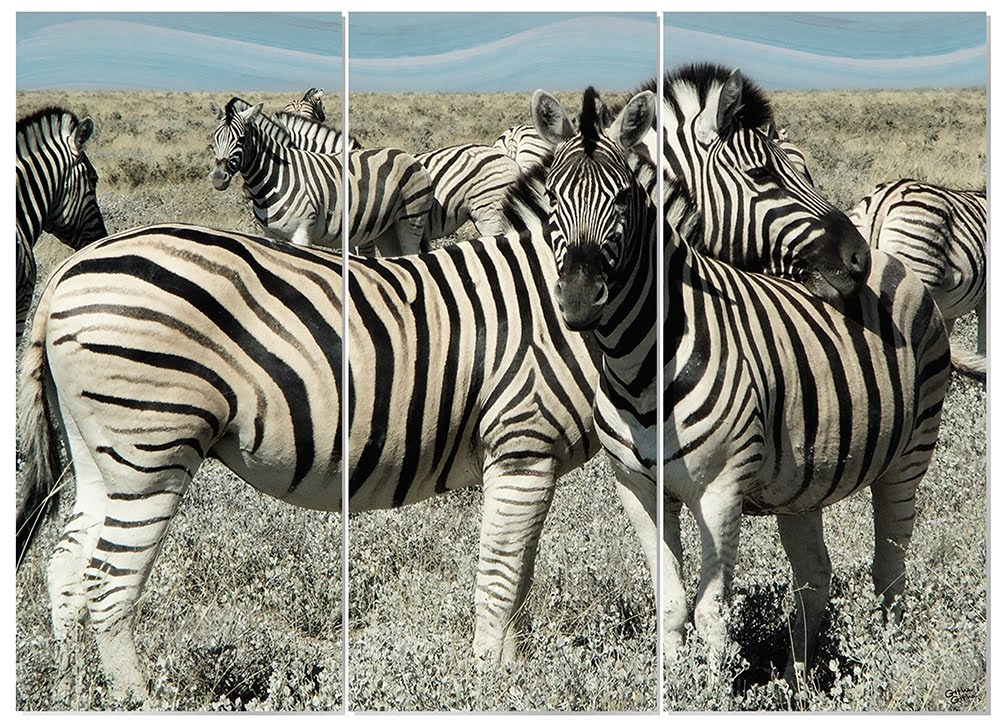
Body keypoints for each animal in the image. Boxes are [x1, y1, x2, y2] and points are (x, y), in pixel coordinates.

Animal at [15, 211, 602, 705]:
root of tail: (66, 271)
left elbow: (519, 574)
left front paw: (509, 674)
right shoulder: (524, 442)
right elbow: (505, 574)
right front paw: (494, 686)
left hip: (98, 456)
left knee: (66, 567)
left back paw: (69, 693)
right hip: (152, 448)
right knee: (108, 582)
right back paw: (138, 701)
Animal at [211, 97, 432, 256]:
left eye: (240, 139)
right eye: (214, 139)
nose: (218, 178)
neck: (277, 175)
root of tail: (406, 154)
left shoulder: (302, 233)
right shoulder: (271, 233)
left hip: (411, 220)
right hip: (388, 230)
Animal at [531, 85, 950, 686]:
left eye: (624, 199)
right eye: (550, 199)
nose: (580, 300)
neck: (639, 365)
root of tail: (884, 255)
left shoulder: (721, 489)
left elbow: (712, 611)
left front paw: (710, 692)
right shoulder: (637, 490)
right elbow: (671, 602)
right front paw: (674, 681)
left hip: (910, 456)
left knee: (890, 569)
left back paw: (892, 661)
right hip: (806, 480)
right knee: (815, 579)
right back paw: (798, 681)